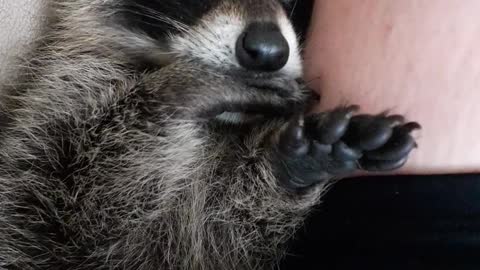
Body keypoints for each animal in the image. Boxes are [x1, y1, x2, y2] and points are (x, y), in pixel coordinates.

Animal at [0, 0, 420, 270]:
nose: (269, 52)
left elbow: (227, 234)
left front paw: (291, 164)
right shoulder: (60, 97)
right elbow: (68, 214)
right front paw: (189, 85)